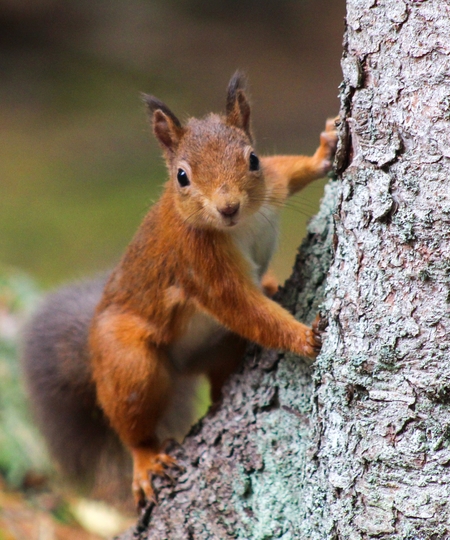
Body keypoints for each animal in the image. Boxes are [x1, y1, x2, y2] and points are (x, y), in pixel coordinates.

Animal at [22, 71, 338, 506]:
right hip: (128, 362)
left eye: (252, 159)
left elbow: (288, 170)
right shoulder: (199, 265)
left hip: (221, 348)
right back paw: (145, 460)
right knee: (132, 419)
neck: (240, 226)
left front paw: (325, 149)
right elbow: (243, 308)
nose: (228, 207)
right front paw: (305, 337)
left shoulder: (272, 185)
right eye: (182, 177)